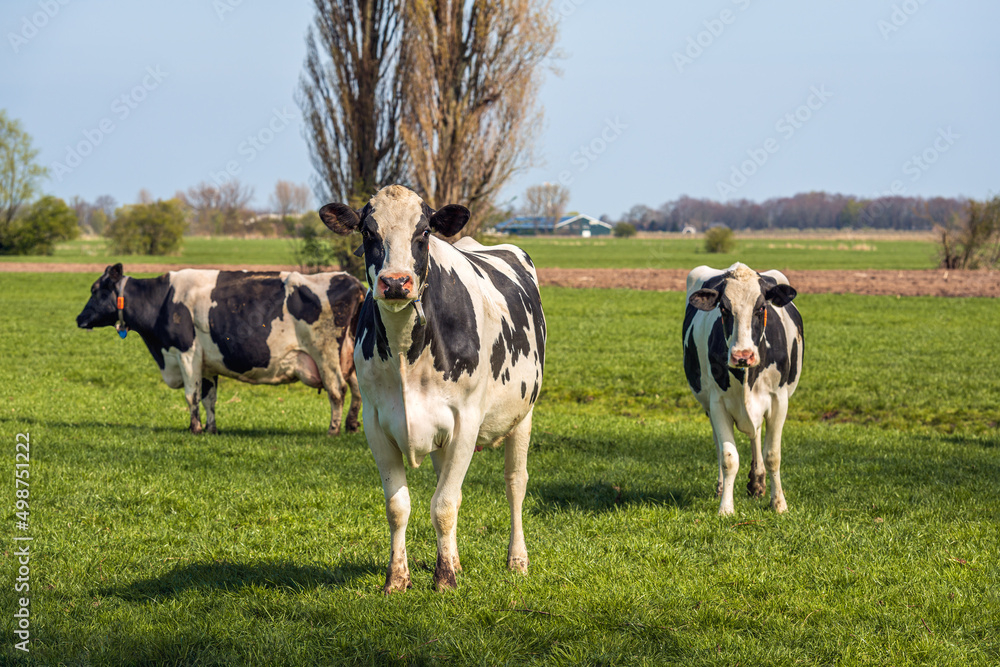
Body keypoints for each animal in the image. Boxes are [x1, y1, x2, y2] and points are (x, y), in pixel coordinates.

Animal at [76, 264, 365, 436]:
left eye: (95, 290)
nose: (79, 318)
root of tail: (353, 280)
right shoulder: (207, 363)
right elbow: (209, 398)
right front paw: (211, 428)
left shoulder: (186, 353)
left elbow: (191, 396)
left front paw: (194, 428)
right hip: (350, 355)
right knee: (357, 389)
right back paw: (351, 425)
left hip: (326, 354)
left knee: (337, 390)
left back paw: (333, 430)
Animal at [319, 184, 546, 593]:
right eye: (368, 233)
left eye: (423, 232)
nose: (395, 282)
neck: (407, 353)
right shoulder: (376, 424)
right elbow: (399, 506)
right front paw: (398, 578)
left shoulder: (466, 422)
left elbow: (443, 505)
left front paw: (444, 580)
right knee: (449, 484)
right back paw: (455, 559)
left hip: (523, 413)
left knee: (515, 483)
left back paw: (517, 560)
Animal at [682, 262, 803, 516]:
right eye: (724, 309)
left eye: (761, 308)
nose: (742, 356)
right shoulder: (717, 403)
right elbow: (729, 457)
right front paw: (726, 508)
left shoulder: (779, 400)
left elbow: (773, 455)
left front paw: (779, 504)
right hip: (708, 405)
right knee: (721, 446)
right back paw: (723, 487)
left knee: (756, 435)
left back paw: (757, 482)